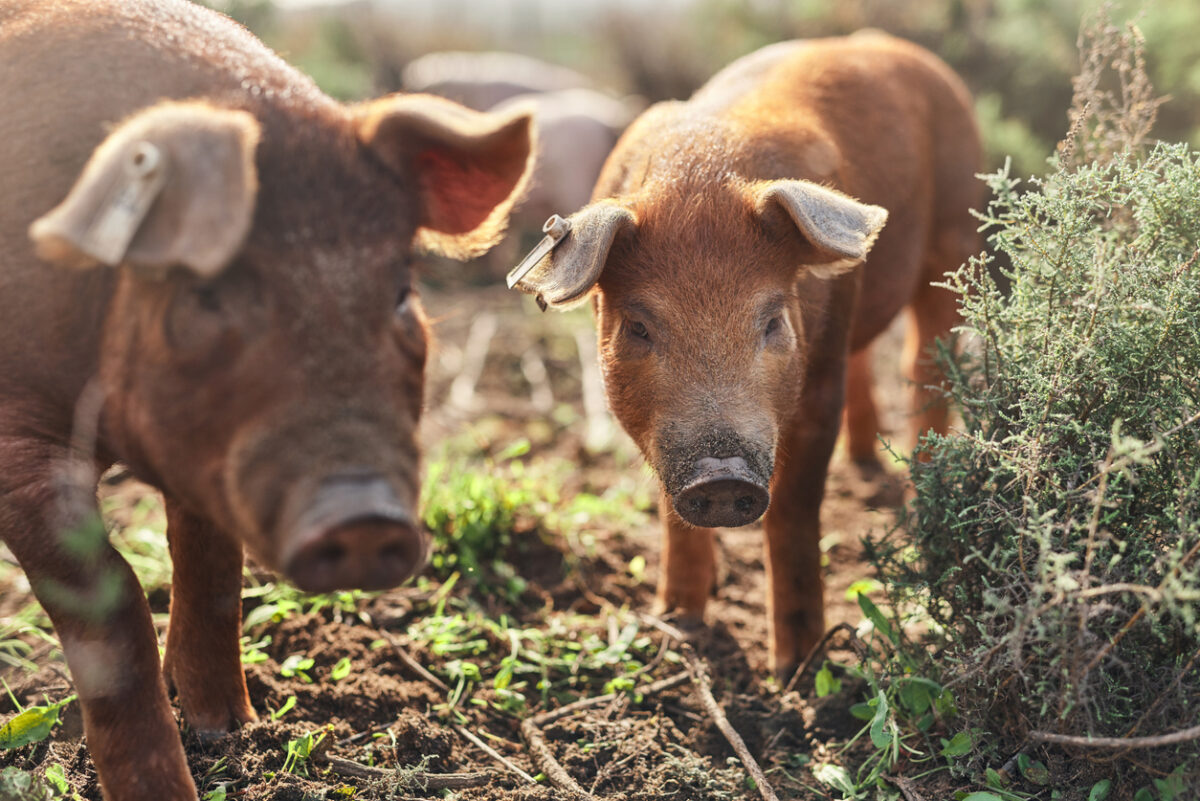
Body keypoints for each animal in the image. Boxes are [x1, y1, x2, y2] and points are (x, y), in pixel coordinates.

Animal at [0, 1, 532, 801]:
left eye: (402, 294)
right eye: (206, 293)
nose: (363, 515)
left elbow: (213, 562)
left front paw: (229, 729)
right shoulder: (14, 441)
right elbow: (114, 601)